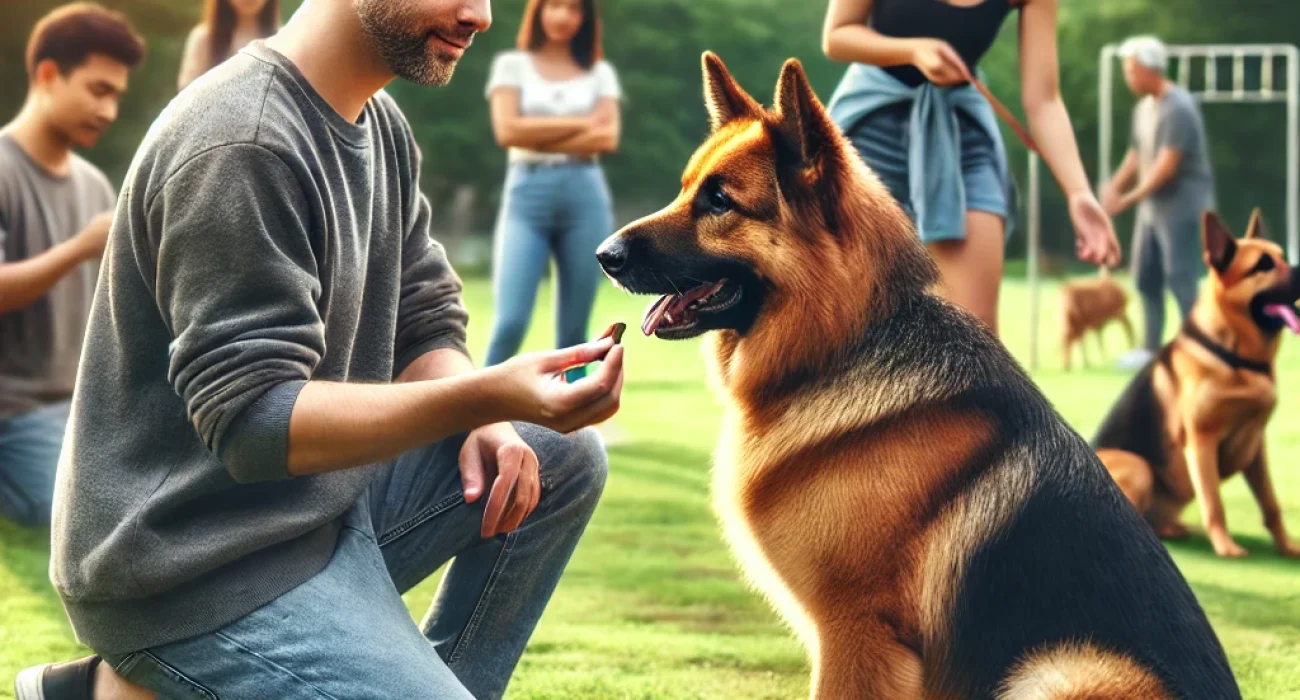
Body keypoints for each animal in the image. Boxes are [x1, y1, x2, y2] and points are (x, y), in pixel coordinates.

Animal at [595, 54, 1232, 697]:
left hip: (1060, 670)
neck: (845, 343)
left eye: (720, 201)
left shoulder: (856, 637)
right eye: (685, 190)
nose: (604, 255)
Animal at [1097, 209, 1300, 559]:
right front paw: (1227, 547)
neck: (1235, 357)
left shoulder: (1256, 446)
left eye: (1282, 257)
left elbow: (1271, 504)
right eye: (1263, 265)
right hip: (1139, 467)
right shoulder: (1201, 440)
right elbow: (1214, 502)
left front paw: (1287, 545)